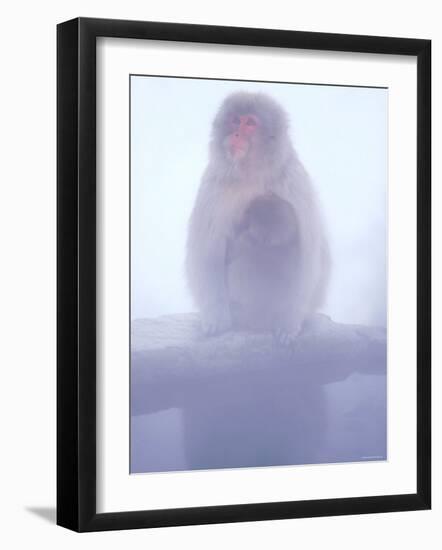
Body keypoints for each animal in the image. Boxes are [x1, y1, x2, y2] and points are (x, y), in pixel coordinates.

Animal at [185, 94, 330, 344]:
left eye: (250, 123)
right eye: (235, 120)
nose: (236, 134)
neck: (250, 174)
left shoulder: (294, 181)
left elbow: (309, 255)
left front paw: (288, 325)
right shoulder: (213, 185)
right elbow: (208, 253)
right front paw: (216, 319)